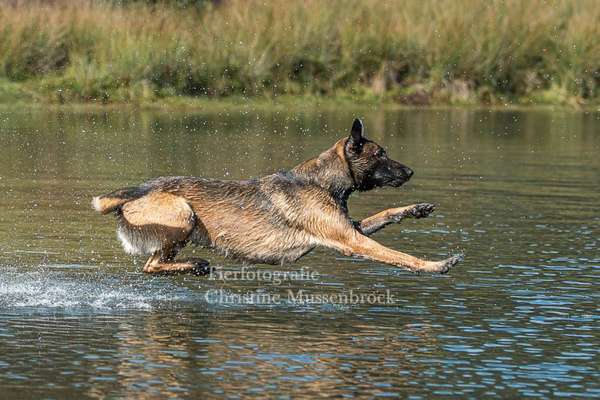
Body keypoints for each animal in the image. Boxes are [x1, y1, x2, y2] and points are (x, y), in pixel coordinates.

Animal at [91, 119, 462, 276]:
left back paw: (195, 266)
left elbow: (386, 213)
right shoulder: (350, 240)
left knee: (153, 266)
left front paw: (417, 209)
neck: (324, 181)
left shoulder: (350, 228)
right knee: (152, 265)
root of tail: (131, 193)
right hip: (183, 213)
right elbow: (400, 256)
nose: (410, 172)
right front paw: (437, 265)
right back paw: (198, 264)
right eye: (380, 154)